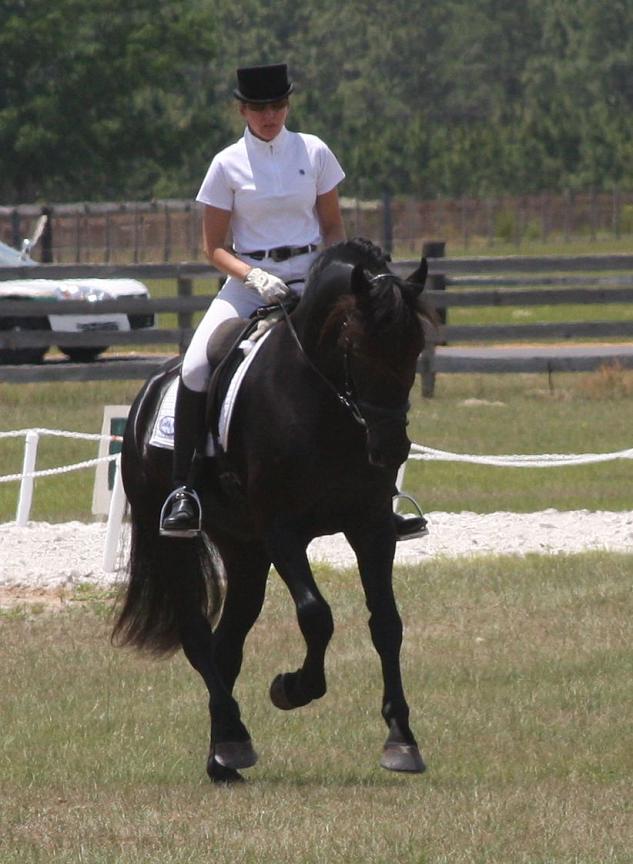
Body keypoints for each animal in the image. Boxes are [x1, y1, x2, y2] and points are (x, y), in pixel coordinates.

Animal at [111, 238, 432, 784]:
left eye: (414, 349)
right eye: (356, 347)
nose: (391, 448)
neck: (323, 401)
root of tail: (150, 390)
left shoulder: (371, 527)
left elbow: (387, 623)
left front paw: (401, 740)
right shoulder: (282, 531)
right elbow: (316, 615)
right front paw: (292, 688)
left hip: (243, 550)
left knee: (227, 642)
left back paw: (223, 754)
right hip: (174, 541)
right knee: (198, 638)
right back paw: (234, 741)